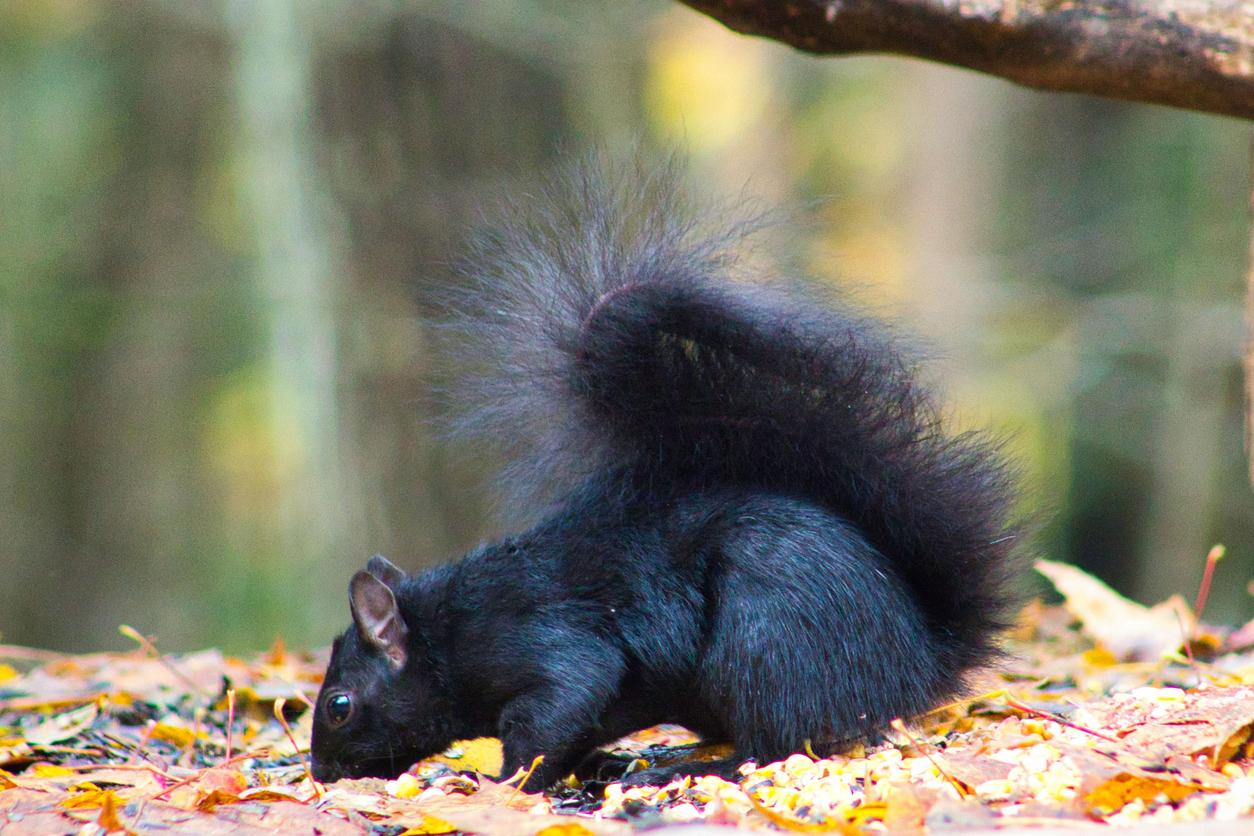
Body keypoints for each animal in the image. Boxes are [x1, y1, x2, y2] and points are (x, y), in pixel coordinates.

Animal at [305, 160, 1018, 787]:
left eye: (339, 705)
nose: (318, 771)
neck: (450, 633)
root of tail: (917, 661)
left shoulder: (547, 640)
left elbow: (556, 710)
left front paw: (501, 782)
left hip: (768, 639)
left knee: (776, 743)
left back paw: (687, 767)